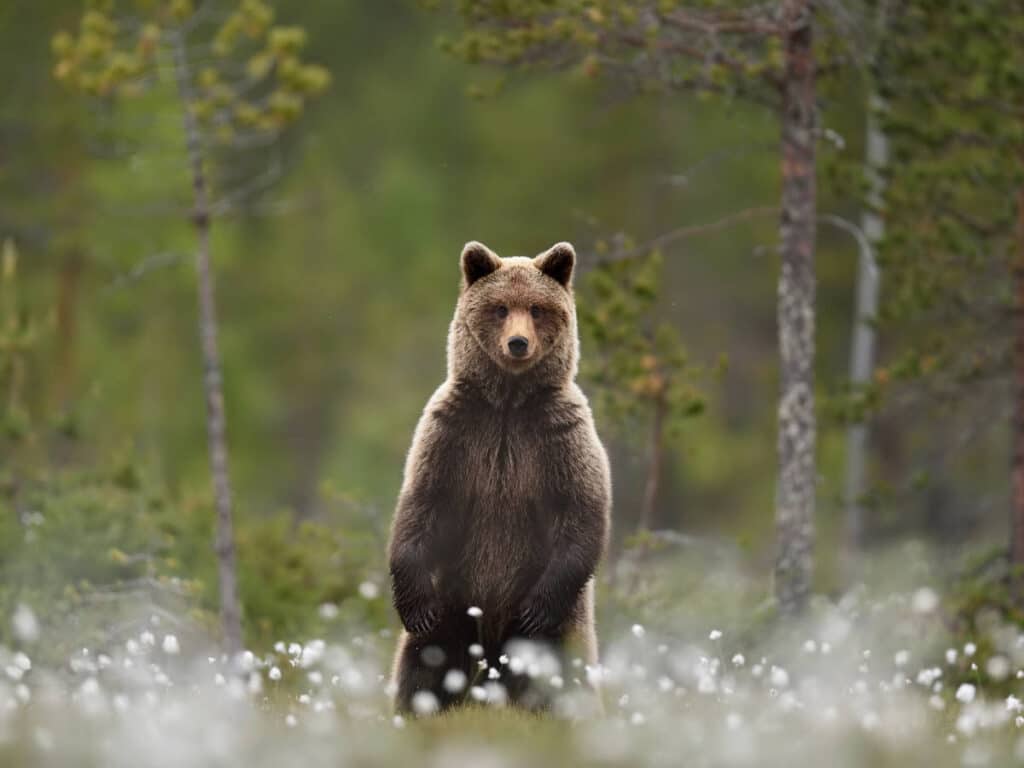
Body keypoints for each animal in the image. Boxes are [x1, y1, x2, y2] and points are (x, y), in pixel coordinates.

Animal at [387, 240, 612, 715]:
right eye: (500, 307)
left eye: (537, 308)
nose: (518, 342)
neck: (508, 403)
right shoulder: (454, 432)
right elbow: (422, 503)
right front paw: (414, 606)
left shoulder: (559, 436)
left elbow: (582, 511)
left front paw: (537, 608)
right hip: (454, 604)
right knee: (424, 667)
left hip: (563, 630)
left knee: (559, 677)